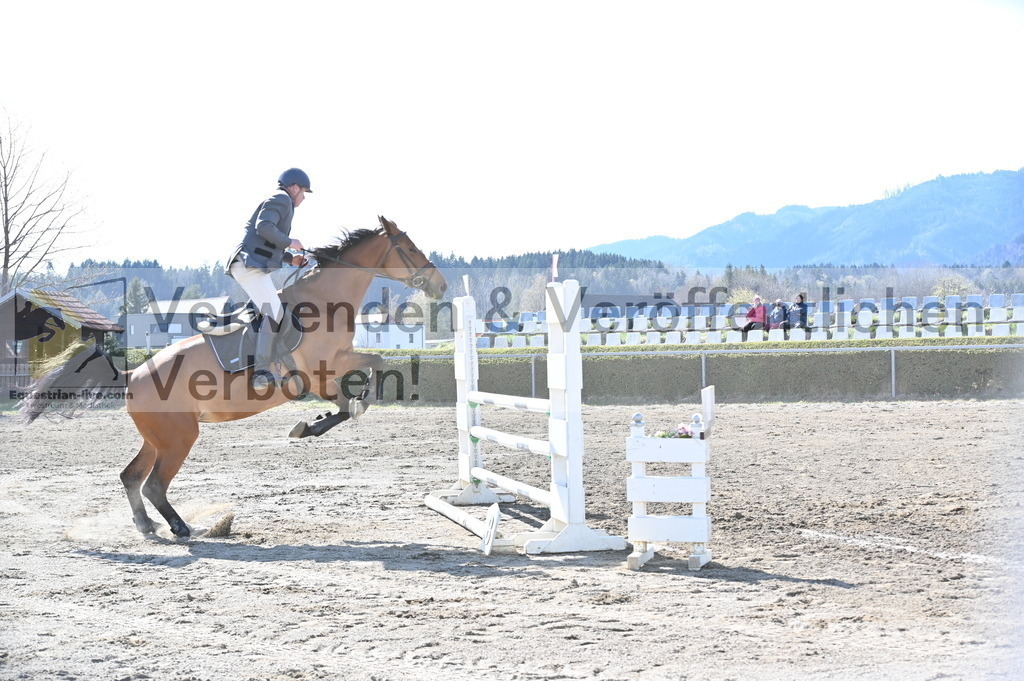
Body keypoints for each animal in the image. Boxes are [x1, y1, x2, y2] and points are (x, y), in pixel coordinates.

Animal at [22, 216, 446, 536]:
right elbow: (373, 364)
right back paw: (183, 528)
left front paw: (313, 424)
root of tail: (133, 374)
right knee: (154, 483)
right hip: (179, 438)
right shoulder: (323, 368)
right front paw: (354, 406)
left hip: (159, 438)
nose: (440, 285)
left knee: (131, 477)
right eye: (410, 248)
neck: (324, 303)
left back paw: (147, 526)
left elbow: (350, 393)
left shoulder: (323, 375)